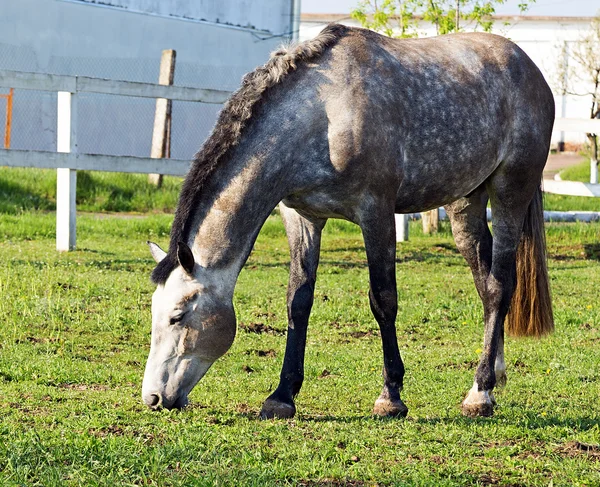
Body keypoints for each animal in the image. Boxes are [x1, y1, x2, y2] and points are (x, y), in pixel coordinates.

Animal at [143, 23, 556, 420]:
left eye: (178, 316)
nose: (153, 398)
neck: (322, 114)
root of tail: (530, 69)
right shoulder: (303, 217)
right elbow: (298, 301)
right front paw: (281, 396)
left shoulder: (376, 212)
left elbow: (383, 299)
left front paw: (391, 397)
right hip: (465, 202)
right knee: (485, 284)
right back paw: (495, 374)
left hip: (510, 190)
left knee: (500, 285)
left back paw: (479, 393)